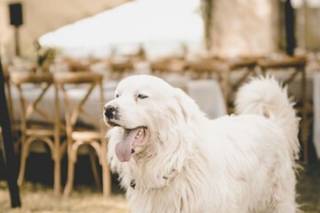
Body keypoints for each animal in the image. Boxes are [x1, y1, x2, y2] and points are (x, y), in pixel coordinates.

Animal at [104, 75, 300, 213]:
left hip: (278, 202)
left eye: (141, 96)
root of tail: (273, 124)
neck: (174, 160)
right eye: (117, 95)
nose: (108, 109)